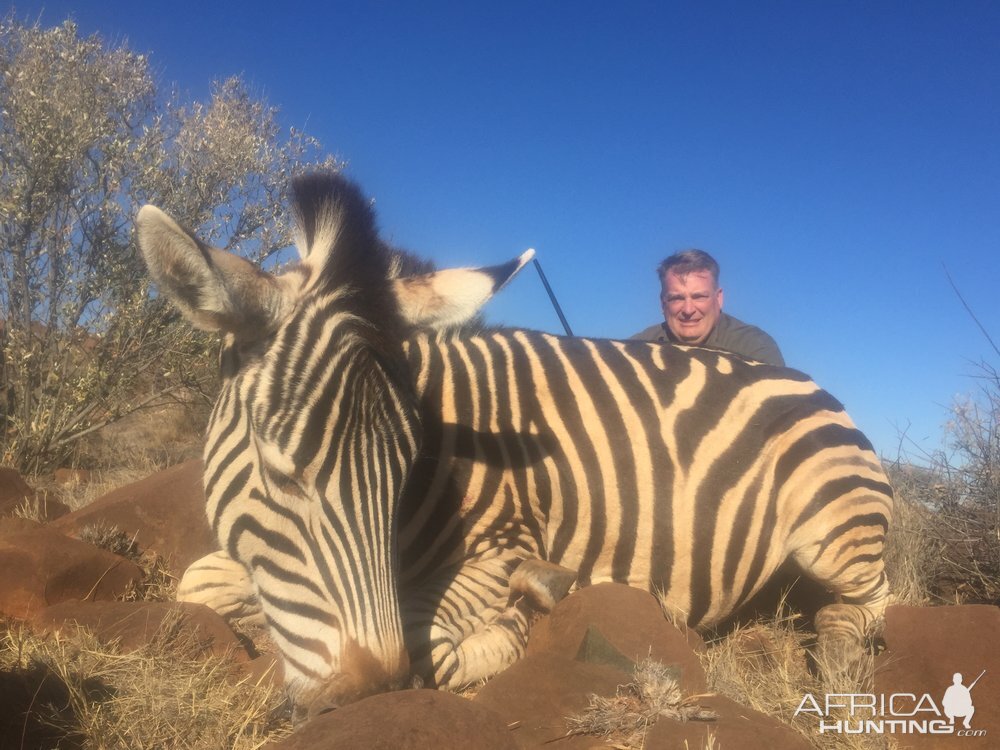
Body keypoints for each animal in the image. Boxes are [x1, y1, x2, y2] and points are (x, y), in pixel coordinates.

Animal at [137, 172, 896, 724]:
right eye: (279, 470)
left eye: (407, 464)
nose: (365, 696)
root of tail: (815, 385)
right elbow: (197, 583)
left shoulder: (503, 546)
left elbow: (439, 646)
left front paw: (518, 620)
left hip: (832, 531)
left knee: (871, 601)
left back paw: (838, 658)